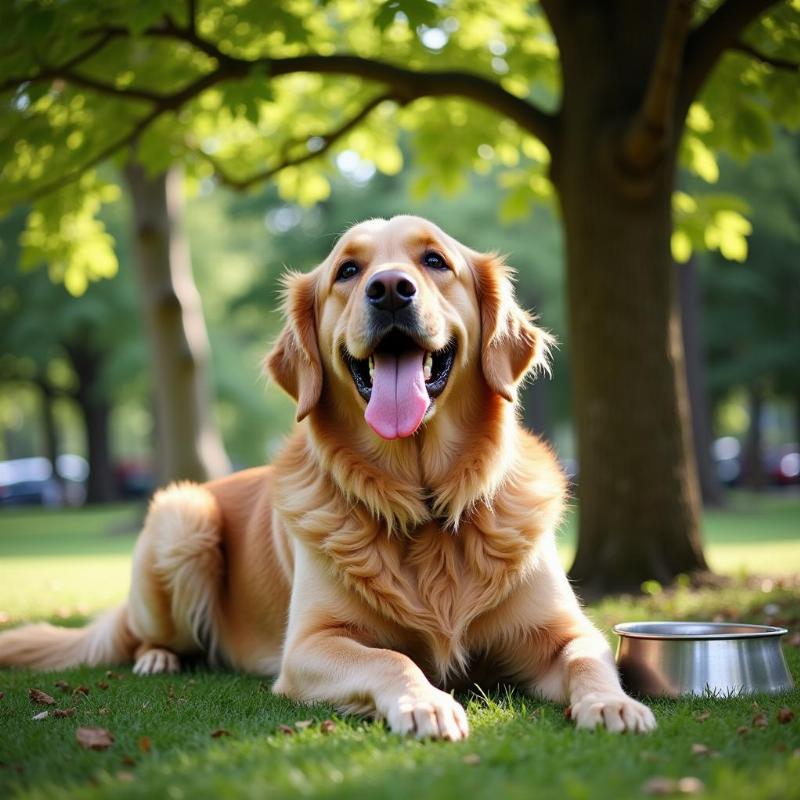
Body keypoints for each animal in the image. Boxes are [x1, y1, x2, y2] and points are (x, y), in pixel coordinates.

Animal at [0, 214, 656, 736]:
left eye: (435, 260)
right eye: (347, 270)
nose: (389, 289)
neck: (422, 501)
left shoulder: (562, 629)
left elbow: (589, 656)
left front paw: (613, 704)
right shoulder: (310, 646)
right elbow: (392, 658)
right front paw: (425, 703)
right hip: (182, 518)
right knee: (143, 634)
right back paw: (158, 658)